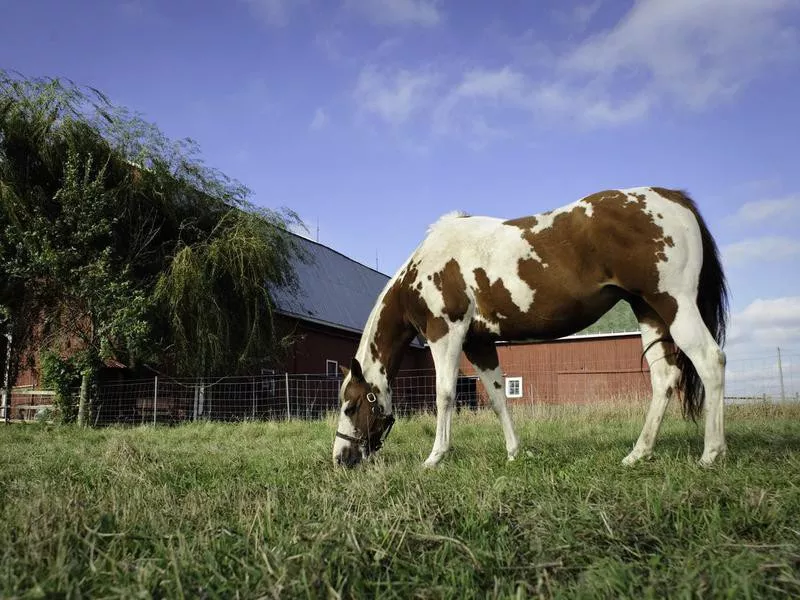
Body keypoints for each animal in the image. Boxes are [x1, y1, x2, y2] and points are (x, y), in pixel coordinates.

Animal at [328, 188, 728, 468]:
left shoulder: (446, 334)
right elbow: (498, 397)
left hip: (674, 303)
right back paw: (638, 454)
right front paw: (515, 452)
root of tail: (674, 197)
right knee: (665, 378)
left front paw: (435, 458)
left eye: (350, 406)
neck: (425, 264)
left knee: (711, 361)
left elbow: (444, 395)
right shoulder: (479, 344)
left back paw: (711, 453)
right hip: (649, 312)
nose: (341, 458)